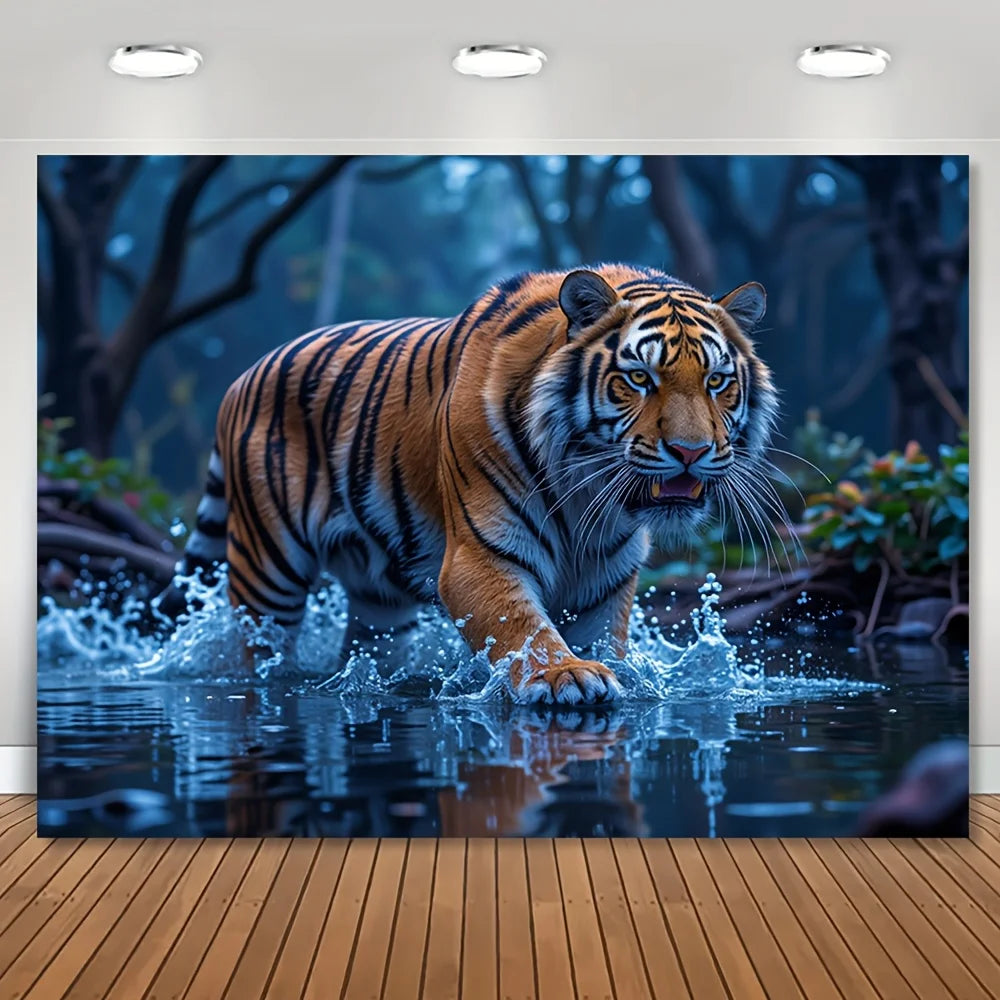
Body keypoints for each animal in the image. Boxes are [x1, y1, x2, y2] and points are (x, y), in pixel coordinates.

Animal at [167, 264, 777, 704]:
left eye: (717, 381)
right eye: (639, 378)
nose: (691, 452)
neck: (586, 495)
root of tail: (242, 377)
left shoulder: (606, 575)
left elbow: (603, 637)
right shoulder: (479, 554)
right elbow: (522, 625)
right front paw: (568, 677)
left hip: (377, 599)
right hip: (267, 569)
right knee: (258, 646)